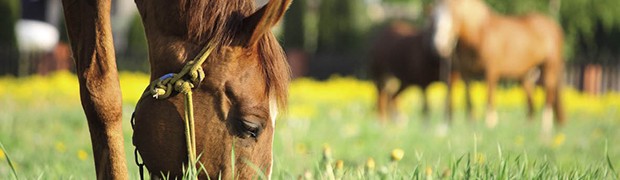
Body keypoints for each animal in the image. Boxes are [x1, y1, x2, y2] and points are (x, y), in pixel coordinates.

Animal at [434, 0, 564, 134]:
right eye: (435, 17)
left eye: (454, 15)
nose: (440, 43)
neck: (478, 34)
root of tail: (554, 25)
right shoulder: (466, 72)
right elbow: (469, 99)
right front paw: (471, 125)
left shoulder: (491, 70)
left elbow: (490, 96)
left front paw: (490, 124)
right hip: (526, 74)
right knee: (530, 103)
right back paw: (527, 128)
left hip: (550, 66)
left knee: (549, 94)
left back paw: (545, 128)